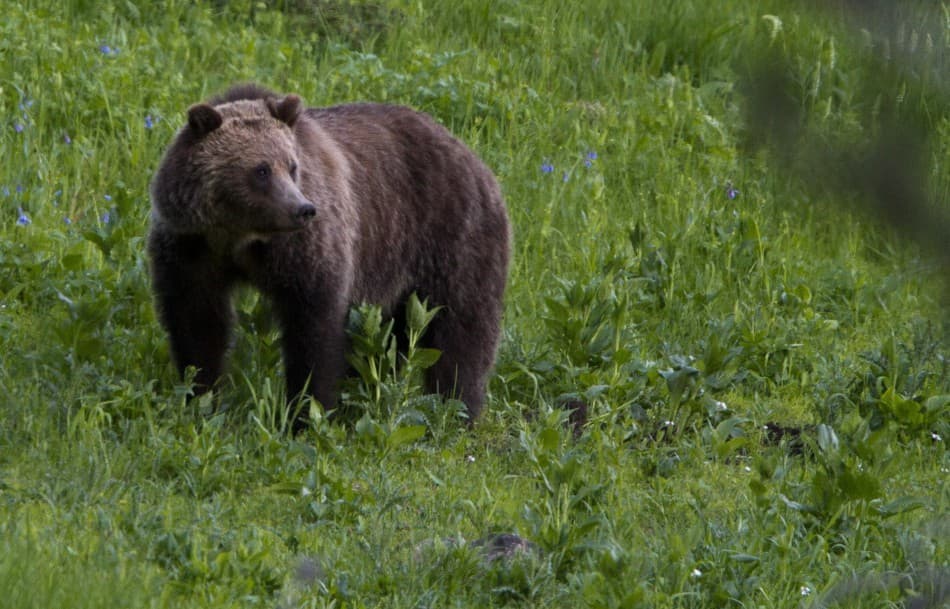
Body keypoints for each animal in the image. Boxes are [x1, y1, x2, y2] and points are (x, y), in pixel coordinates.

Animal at [147, 84, 512, 428]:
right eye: (261, 170)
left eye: (292, 166)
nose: (303, 209)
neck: (240, 237)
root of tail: (473, 157)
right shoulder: (191, 248)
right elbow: (198, 322)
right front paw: (200, 397)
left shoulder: (305, 251)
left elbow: (314, 328)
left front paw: (306, 413)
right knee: (392, 337)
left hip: (452, 237)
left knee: (462, 329)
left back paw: (457, 410)